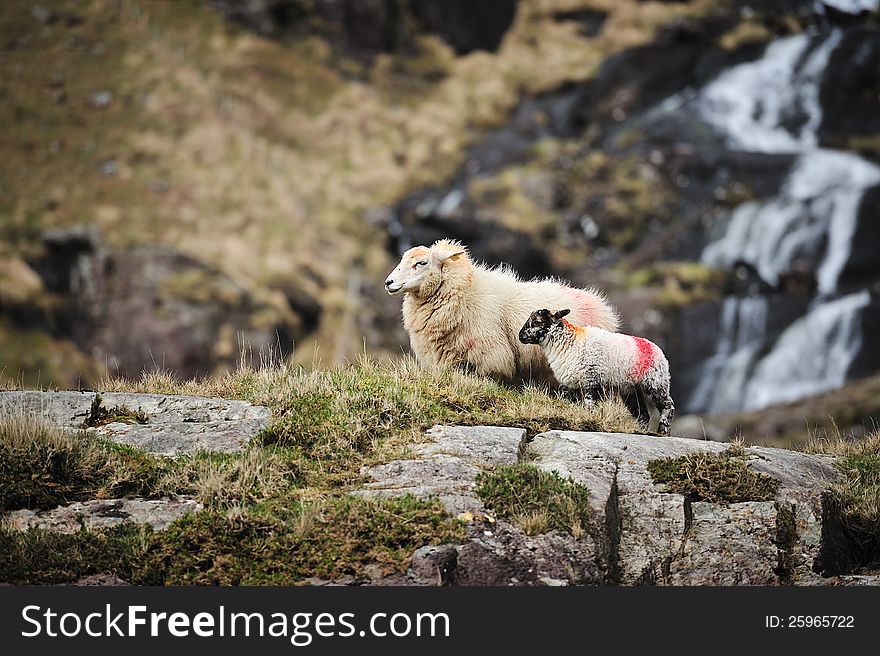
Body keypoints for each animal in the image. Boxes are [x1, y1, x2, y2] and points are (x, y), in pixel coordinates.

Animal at [516, 308, 672, 436]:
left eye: (537, 322)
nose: (520, 336)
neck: (569, 342)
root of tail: (657, 349)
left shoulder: (592, 380)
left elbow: (589, 403)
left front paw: (588, 418)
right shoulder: (568, 383)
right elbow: (567, 402)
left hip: (655, 382)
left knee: (668, 405)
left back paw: (663, 431)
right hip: (630, 388)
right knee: (642, 414)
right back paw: (641, 431)